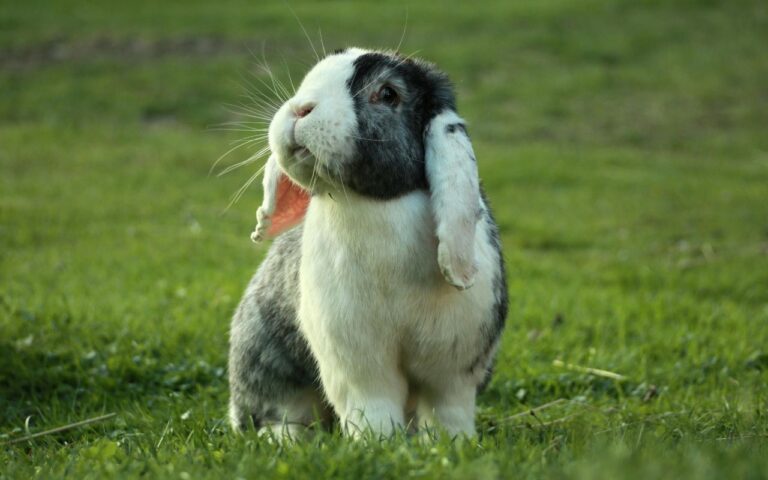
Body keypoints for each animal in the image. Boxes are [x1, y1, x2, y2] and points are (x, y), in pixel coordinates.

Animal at [228, 47, 508, 438]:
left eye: (388, 94)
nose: (300, 109)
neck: (376, 202)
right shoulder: (356, 359)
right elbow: (372, 405)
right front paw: (377, 443)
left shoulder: (454, 366)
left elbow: (448, 410)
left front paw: (452, 445)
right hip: (263, 358)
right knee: (277, 412)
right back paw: (287, 440)